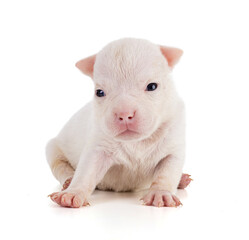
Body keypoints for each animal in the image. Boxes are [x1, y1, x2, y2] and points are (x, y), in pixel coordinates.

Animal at [47, 38, 191, 207]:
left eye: (152, 86)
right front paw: (71, 194)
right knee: (61, 166)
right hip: (53, 149)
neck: (137, 142)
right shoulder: (98, 146)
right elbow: (86, 171)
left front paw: (161, 194)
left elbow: (167, 172)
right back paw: (68, 181)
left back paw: (182, 179)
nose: (124, 114)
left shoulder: (173, 143)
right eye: (99, 92)